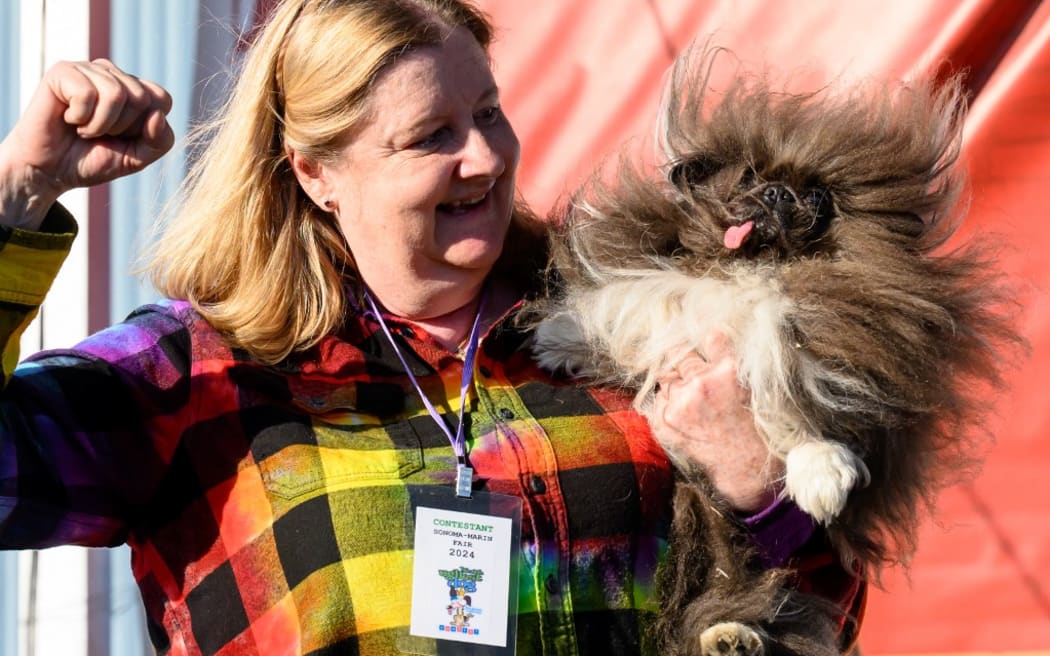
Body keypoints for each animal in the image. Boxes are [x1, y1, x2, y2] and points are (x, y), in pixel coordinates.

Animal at [529, 47, 1020, 654]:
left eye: (816, 197)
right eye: (749, 177)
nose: (778, 194)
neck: (753, 264)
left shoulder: (823, 351)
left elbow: (800, 411)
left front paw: (823, 478)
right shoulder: (661, 297)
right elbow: (621, 312)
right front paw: (558, 341)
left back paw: (731, 639)